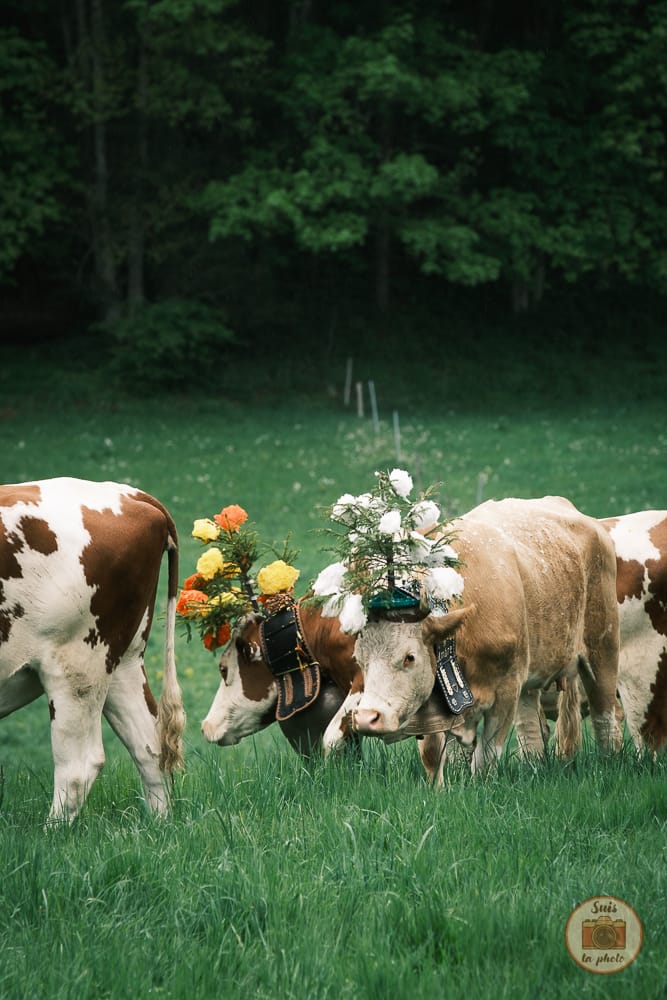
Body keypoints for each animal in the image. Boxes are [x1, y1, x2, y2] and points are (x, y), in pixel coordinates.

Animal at [0, 477, 186, 822]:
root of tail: (131, 495)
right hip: (122, 661)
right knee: (150, 746)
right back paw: (160, 823)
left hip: (76, 663)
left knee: (79, 764)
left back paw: (52, 834)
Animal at [327, 496, 622, 774]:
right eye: (359, 659)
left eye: (409, 657)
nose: (367, 718)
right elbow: (439, 756)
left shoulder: (506, 691)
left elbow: (486, 757)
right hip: (532, 675)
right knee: (531, 730)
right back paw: (535, 766)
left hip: (603, 650)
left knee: (606, 714)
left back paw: (610, 762)